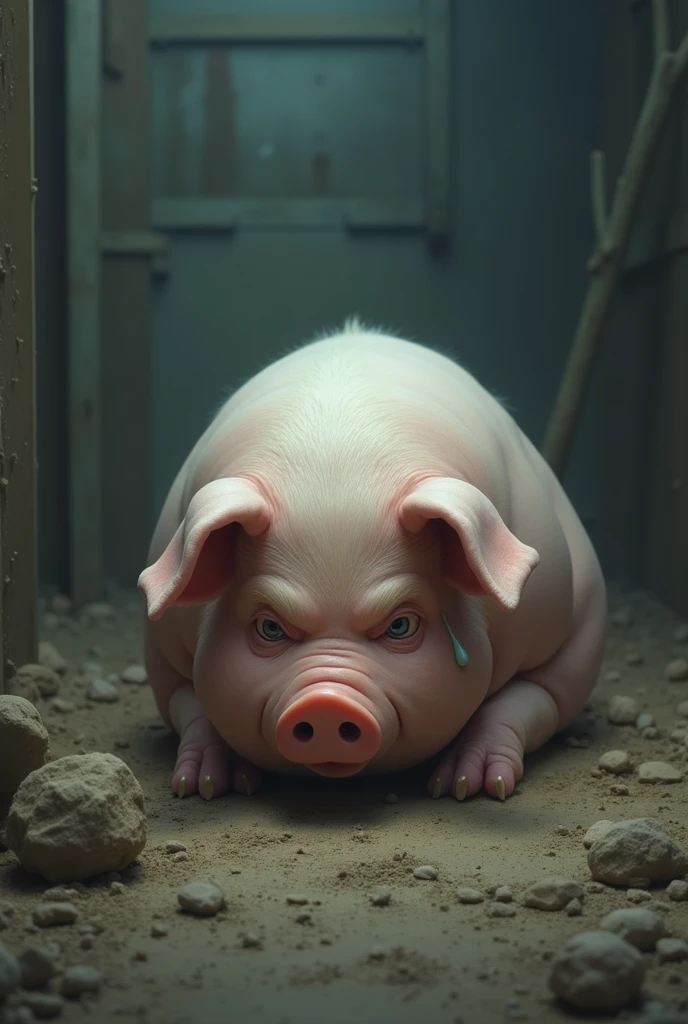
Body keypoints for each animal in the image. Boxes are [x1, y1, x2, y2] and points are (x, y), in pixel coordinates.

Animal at [138, 318, 606, 803]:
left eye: (401, 625)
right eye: (270, 627)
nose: (325, 703)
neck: (336, 471)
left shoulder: (562, 627)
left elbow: (534, 694)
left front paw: (466, 787)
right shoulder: (160, 648)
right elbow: (187, 701)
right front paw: (203, 786)